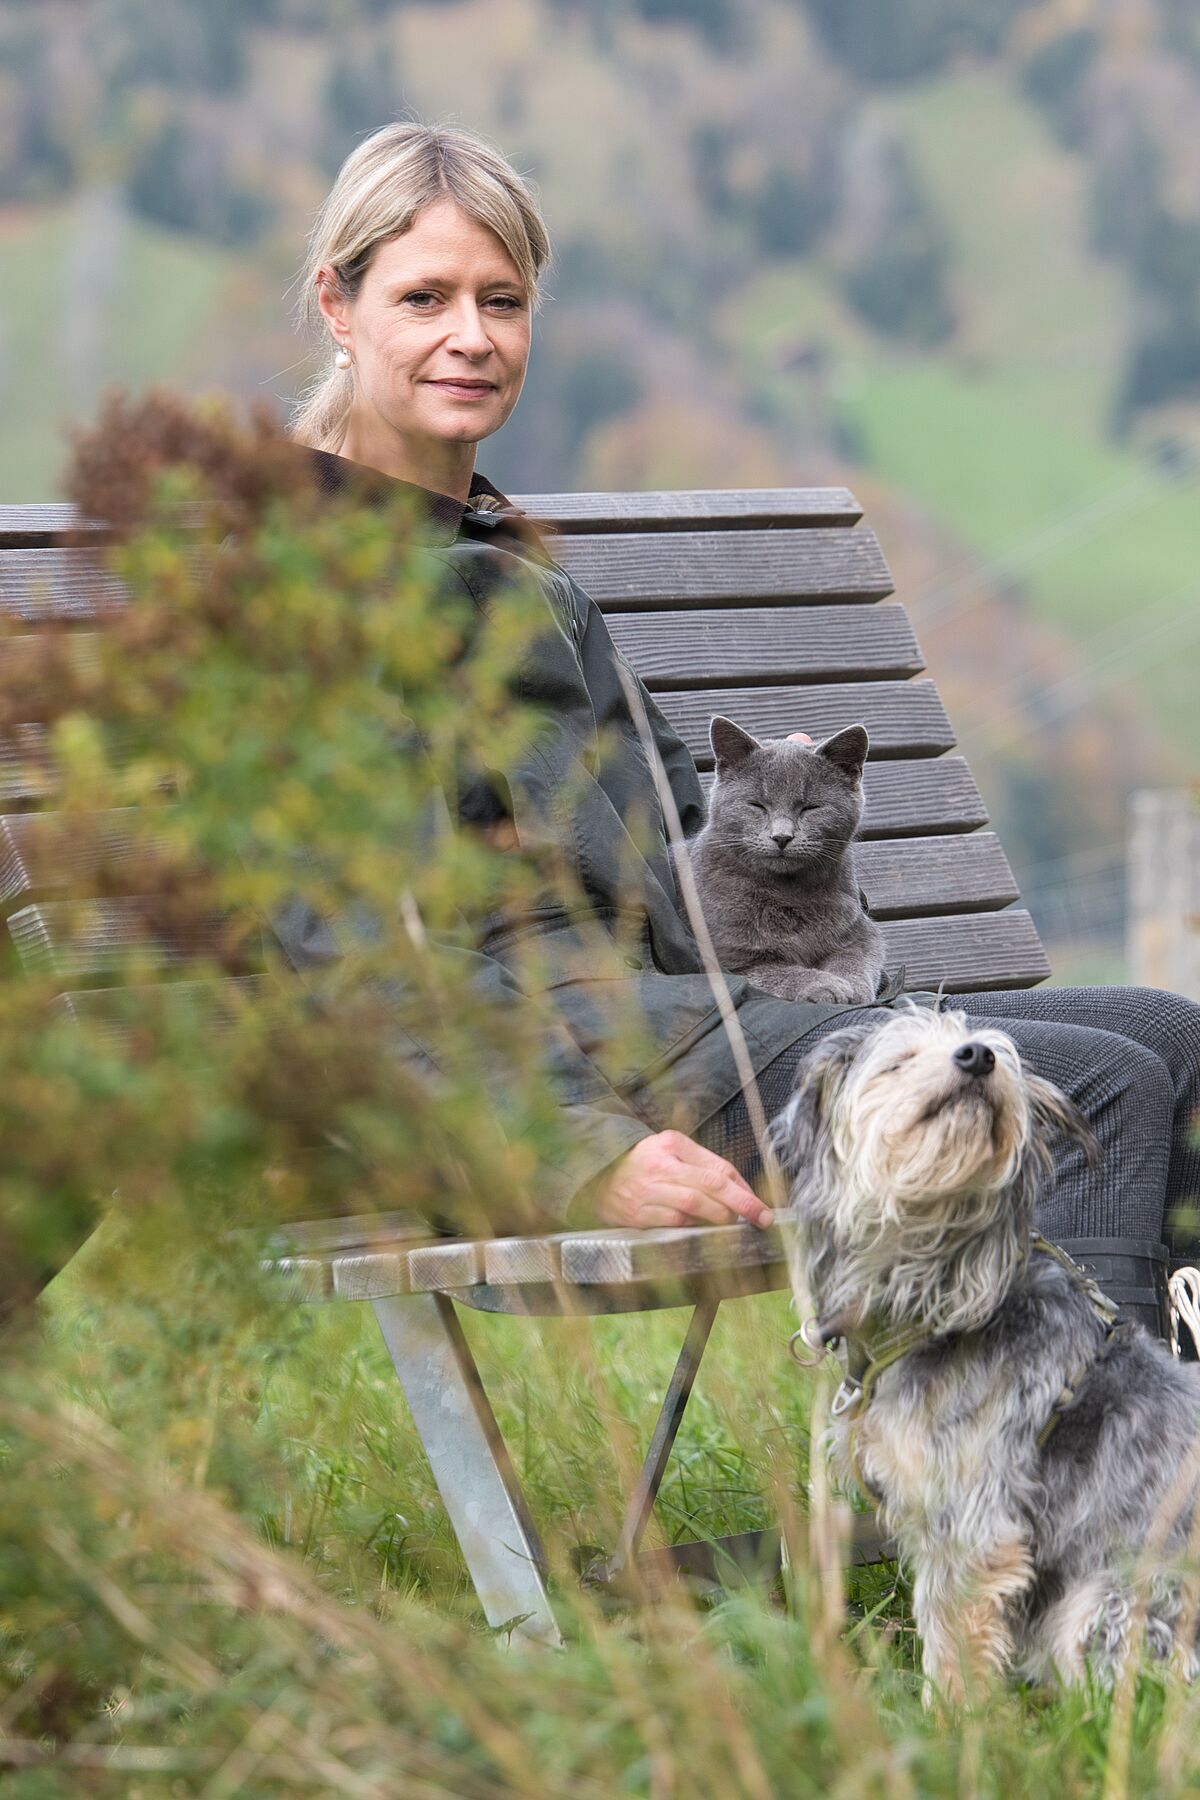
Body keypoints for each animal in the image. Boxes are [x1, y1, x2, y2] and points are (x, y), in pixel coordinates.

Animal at [680, 720, 888, 1008]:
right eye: (756, 805)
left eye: (811, 807)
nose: (781, 837)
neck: (788, 893)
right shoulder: (727, 963)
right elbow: (781, 971)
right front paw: (826, 985)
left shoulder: (863, 933)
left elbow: (854, 957)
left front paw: (852, 988)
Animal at [773, 1008, 1200, 1692]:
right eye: (900, 1060)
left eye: (990, 1051)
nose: (978, 1057)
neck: (942, 1296)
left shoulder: (973, 1526)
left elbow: (950, 1642)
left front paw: (953, 1716)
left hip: (1103, 1607)